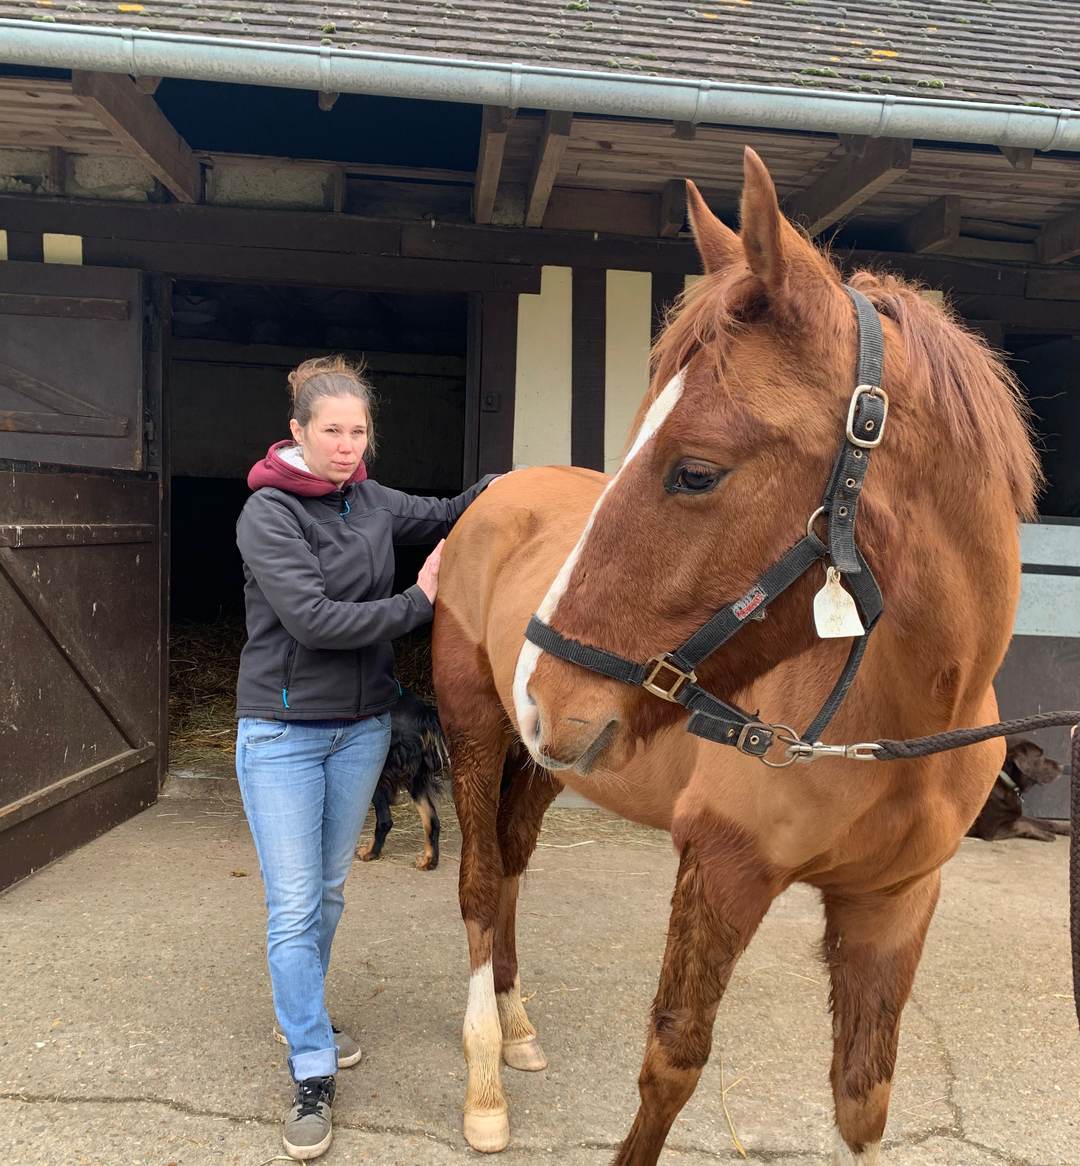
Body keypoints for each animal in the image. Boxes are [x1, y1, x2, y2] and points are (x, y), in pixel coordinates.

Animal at [431, 147, 1039, 1165]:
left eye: (695, 471)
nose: (544, 690)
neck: (900, 728)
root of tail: (498, 491)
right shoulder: (722, 868)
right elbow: (669, 1071)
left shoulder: (893, 905)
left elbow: (863, 1100)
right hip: (479, 729)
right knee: (479, 884)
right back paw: (483, 1084)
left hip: (547, 764)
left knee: (511, 863)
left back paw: (515, 1030)